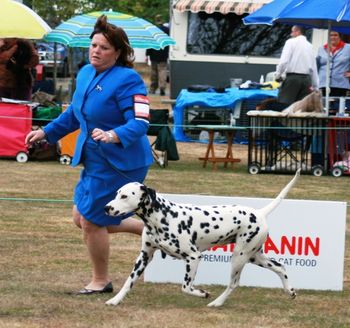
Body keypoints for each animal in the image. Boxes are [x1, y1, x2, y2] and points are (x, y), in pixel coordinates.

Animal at [104, 170, 300, 306]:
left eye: (124, 196)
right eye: (116, 193)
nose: (106, 208)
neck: (163, 216)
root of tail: (259, 212)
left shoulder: (193, 257)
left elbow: (186, 287)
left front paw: (202, 293)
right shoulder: (144, 256)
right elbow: (129, 281)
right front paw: (116, 300)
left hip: (239, 257)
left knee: (234, 283)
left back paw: (217, 302)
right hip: (254, 256)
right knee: (280, 267)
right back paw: (289, 291)